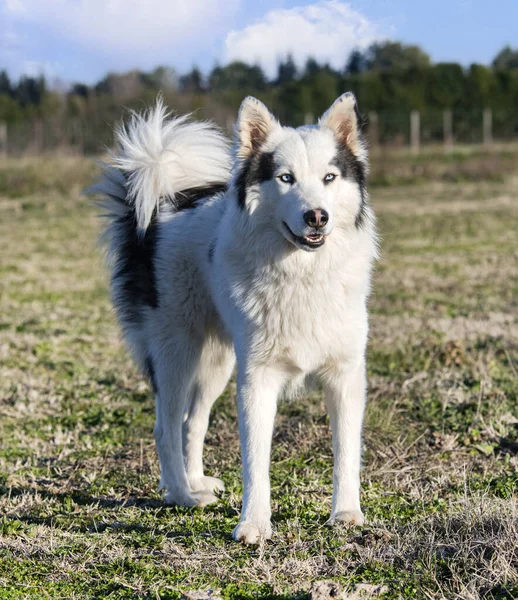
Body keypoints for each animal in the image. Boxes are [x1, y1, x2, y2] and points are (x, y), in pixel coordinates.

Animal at [91, 92, 380, 544]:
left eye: (330, 177)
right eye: (285, 178)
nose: (317, 216)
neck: (302, 272)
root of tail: (159, 208)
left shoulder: (346, 376)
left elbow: (346, 452)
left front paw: (346, 513)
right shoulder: (256, 379)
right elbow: (255, 460)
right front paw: (254, 524)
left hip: (216, 362)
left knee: (192, 421)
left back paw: (195, 482)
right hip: (177, 353)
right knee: (166, 426)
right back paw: (182, 495)